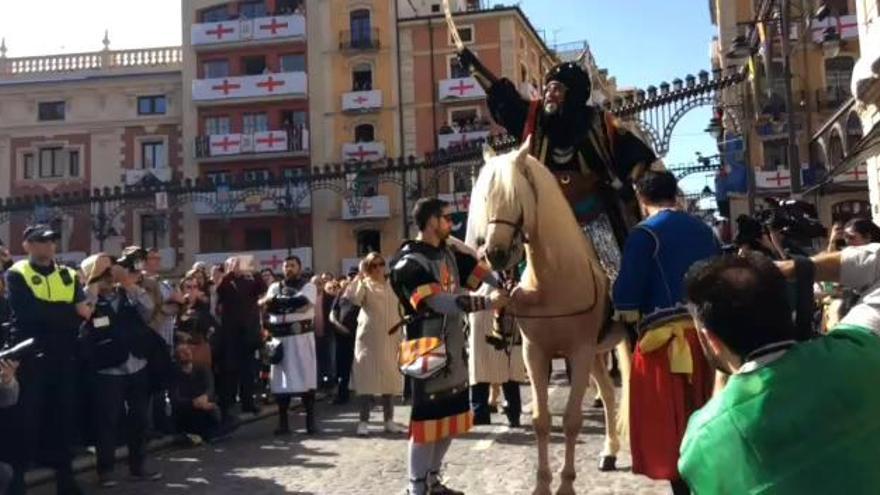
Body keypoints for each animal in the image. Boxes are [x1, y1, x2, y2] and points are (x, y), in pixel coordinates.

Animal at [468, 140, 624, 495]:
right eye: (485, 197)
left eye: (514, 195)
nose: (495, 254)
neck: (554, 277)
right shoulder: (534, 352)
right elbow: (542, 420)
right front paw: (542, 484)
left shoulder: (578, 352)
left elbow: (571, 420)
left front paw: (566, 485)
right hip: (596, 353)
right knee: (609, 392)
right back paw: (609, 451)